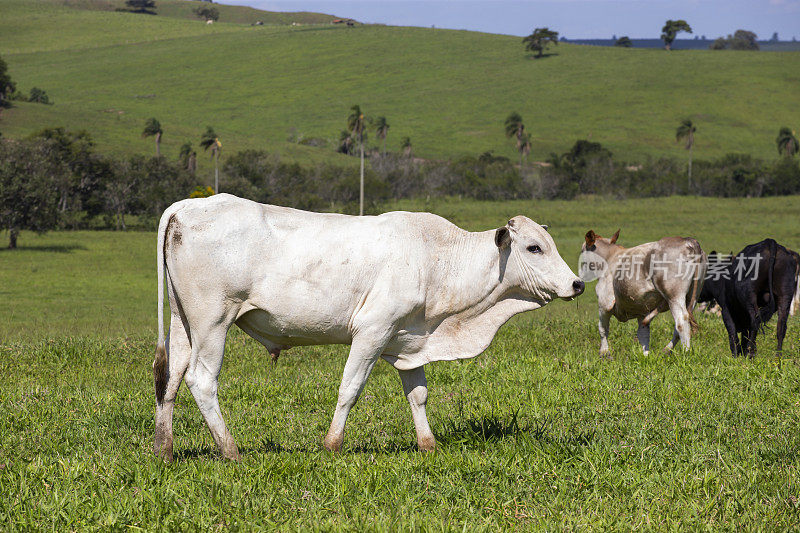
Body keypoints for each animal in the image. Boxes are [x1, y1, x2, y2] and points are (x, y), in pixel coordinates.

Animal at [153, 193, 584, 460]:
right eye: (534, 247)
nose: (578, 284)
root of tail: (187, 205)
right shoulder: (372, 332)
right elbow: (350, 389)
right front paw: (332, 444)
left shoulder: (409, 339)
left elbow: (418, 395)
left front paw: (428, 445)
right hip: (213, 322)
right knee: (201, 381)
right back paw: (230, 451)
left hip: (183, 323)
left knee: (168, 379)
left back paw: (164, 449)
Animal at [580, 230, 708, 358]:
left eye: (582, 251)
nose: (581, 276)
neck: (609, 258)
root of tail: (687, 240)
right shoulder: (642, 310)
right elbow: (643, 333)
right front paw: (645, 356)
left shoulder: (605, 303)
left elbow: (603, 329)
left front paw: (604, 353)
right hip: (693, 296)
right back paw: (666, 350)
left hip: (674, 296)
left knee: (681, 321)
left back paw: (685, 352)